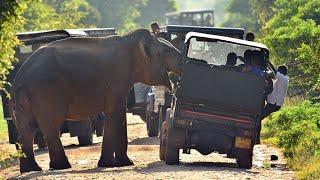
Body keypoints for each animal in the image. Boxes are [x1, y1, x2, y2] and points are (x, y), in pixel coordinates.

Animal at [11, 28, 182, 173]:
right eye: (166, 51)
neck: (129, 41)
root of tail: (21, 76)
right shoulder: (117, 78)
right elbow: (114, 113)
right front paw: (109, 164)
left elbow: (120, 115)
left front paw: (126, 163)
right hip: (46, 91)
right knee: (50, 126)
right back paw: (61, 166)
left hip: (24, 100)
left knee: (27, 128)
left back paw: (32, 169)